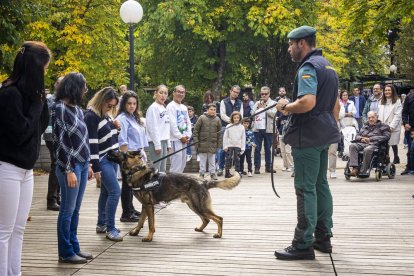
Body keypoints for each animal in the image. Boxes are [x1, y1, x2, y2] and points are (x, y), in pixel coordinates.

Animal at [107, 150, 243, 243]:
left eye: (119, 151)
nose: (108, 151)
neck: (136, 170)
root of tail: (203, 182)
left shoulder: (149, 206)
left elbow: (150, 224)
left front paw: (149, 237)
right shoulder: (145, 206)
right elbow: (140, 221)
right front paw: (136, 232)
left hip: (199, 207)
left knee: (219, 218)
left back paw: (218, 235)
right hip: (193, 206)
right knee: (207, 219)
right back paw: (200, 229)